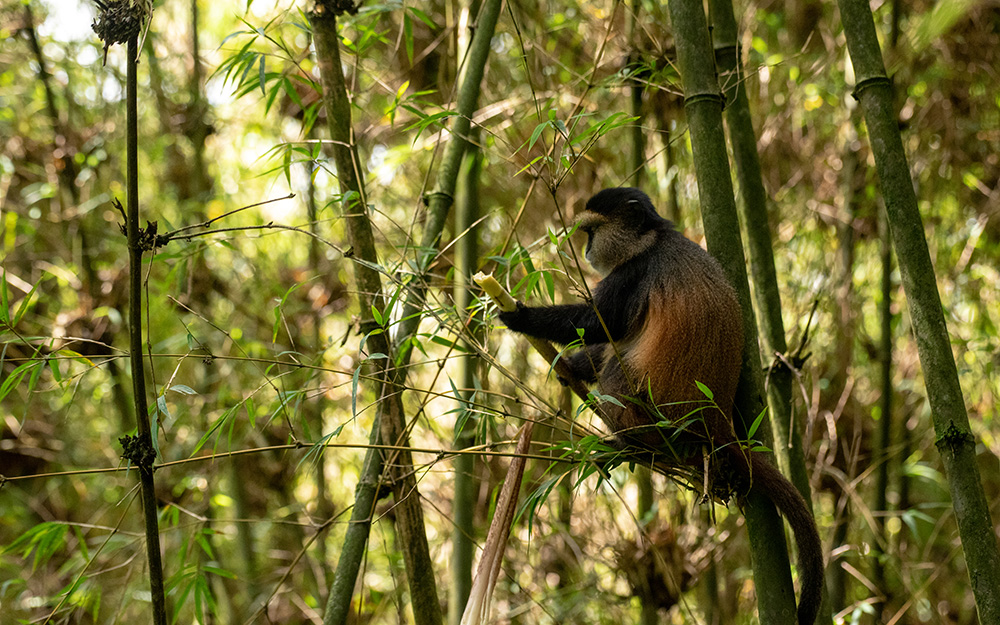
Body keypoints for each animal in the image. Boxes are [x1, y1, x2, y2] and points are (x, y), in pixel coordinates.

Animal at [498, 187, 823, 625]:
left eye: (591, 232)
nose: (585, 251)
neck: (653, 239)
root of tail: (714, 421)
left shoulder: (632, 275)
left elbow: (598, 323)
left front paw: (519, 316)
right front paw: (569, 366)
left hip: (655, 419)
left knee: (617, 370)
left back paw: (626, 442)